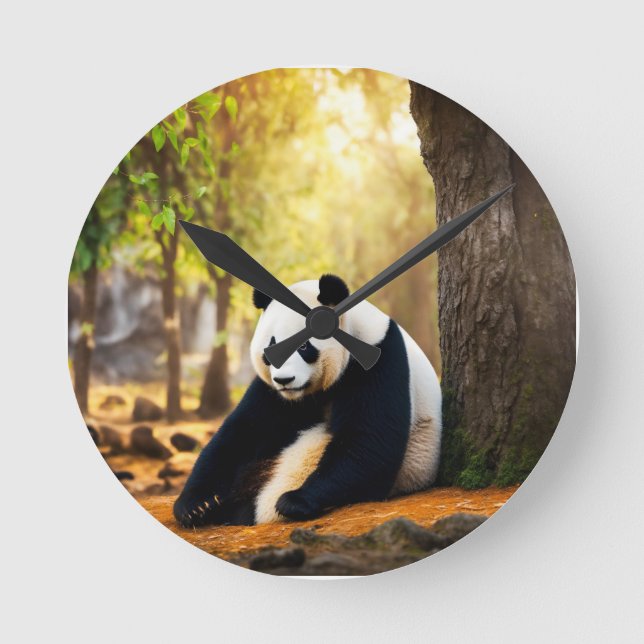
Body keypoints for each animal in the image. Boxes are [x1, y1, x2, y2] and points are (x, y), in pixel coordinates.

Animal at [173, 274, 442, 527]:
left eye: (304, 346)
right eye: (271, 346)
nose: (284, 380)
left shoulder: (378, 359)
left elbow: (369, 441)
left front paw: (296, 501)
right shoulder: (272, 392)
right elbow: (243, 430)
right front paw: (195, 505)